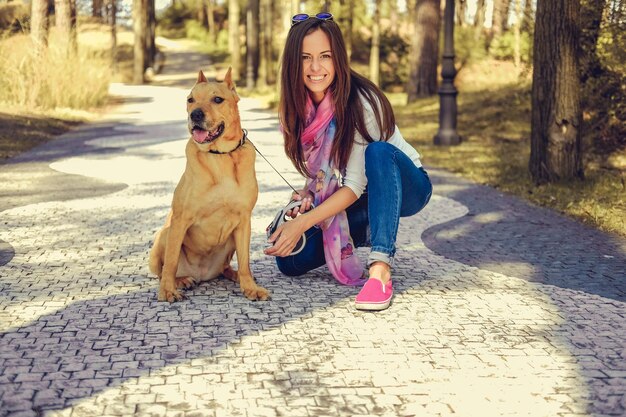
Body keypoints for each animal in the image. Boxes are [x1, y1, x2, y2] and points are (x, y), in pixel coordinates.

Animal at [151, 68, 270, 302]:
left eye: (217, 99)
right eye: (190, 100)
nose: (195, 115)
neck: (220, 155)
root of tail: (203, 274)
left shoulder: (244, 221)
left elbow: (245, 261)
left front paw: (250, 287)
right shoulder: (180, 220)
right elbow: (170, 262)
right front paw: (167, 291)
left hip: (231, 240)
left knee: (227, 267)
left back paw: (235, 276)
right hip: (164, 234)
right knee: (164, 269)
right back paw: (181, 280)